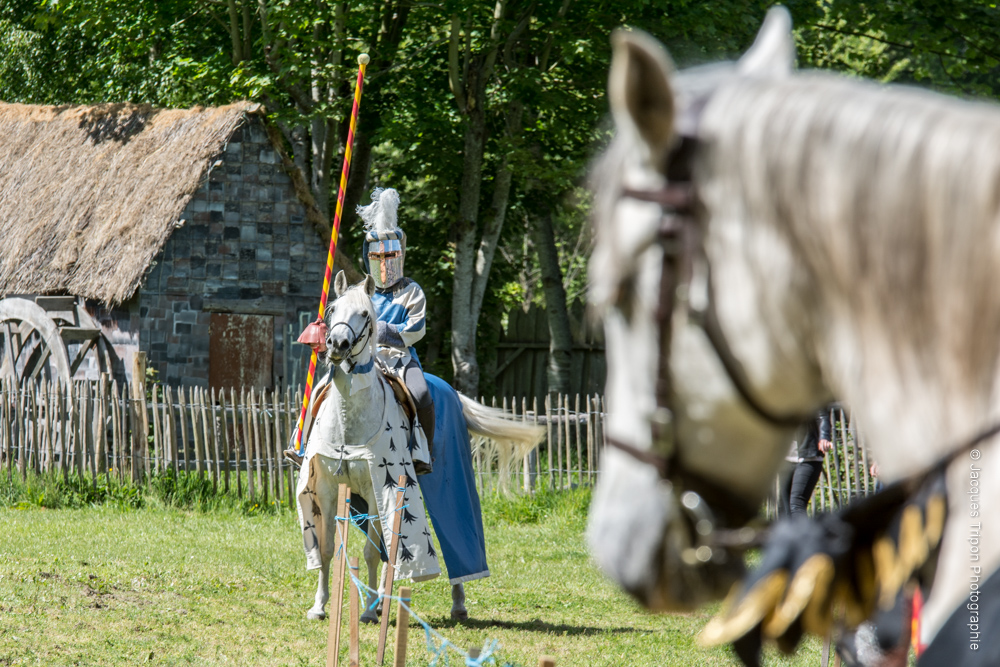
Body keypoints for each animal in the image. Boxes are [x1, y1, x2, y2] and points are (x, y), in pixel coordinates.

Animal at [296, 270, 544, 624]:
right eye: (332, 310)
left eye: (366, 314)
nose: (337, 345)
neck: (348, 420)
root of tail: (452, 392)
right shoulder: (328, 489)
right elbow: (329, 547)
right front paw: (319, 606)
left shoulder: (377, 486)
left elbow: (371, 552)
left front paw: (368, 612)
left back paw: (457, 604)